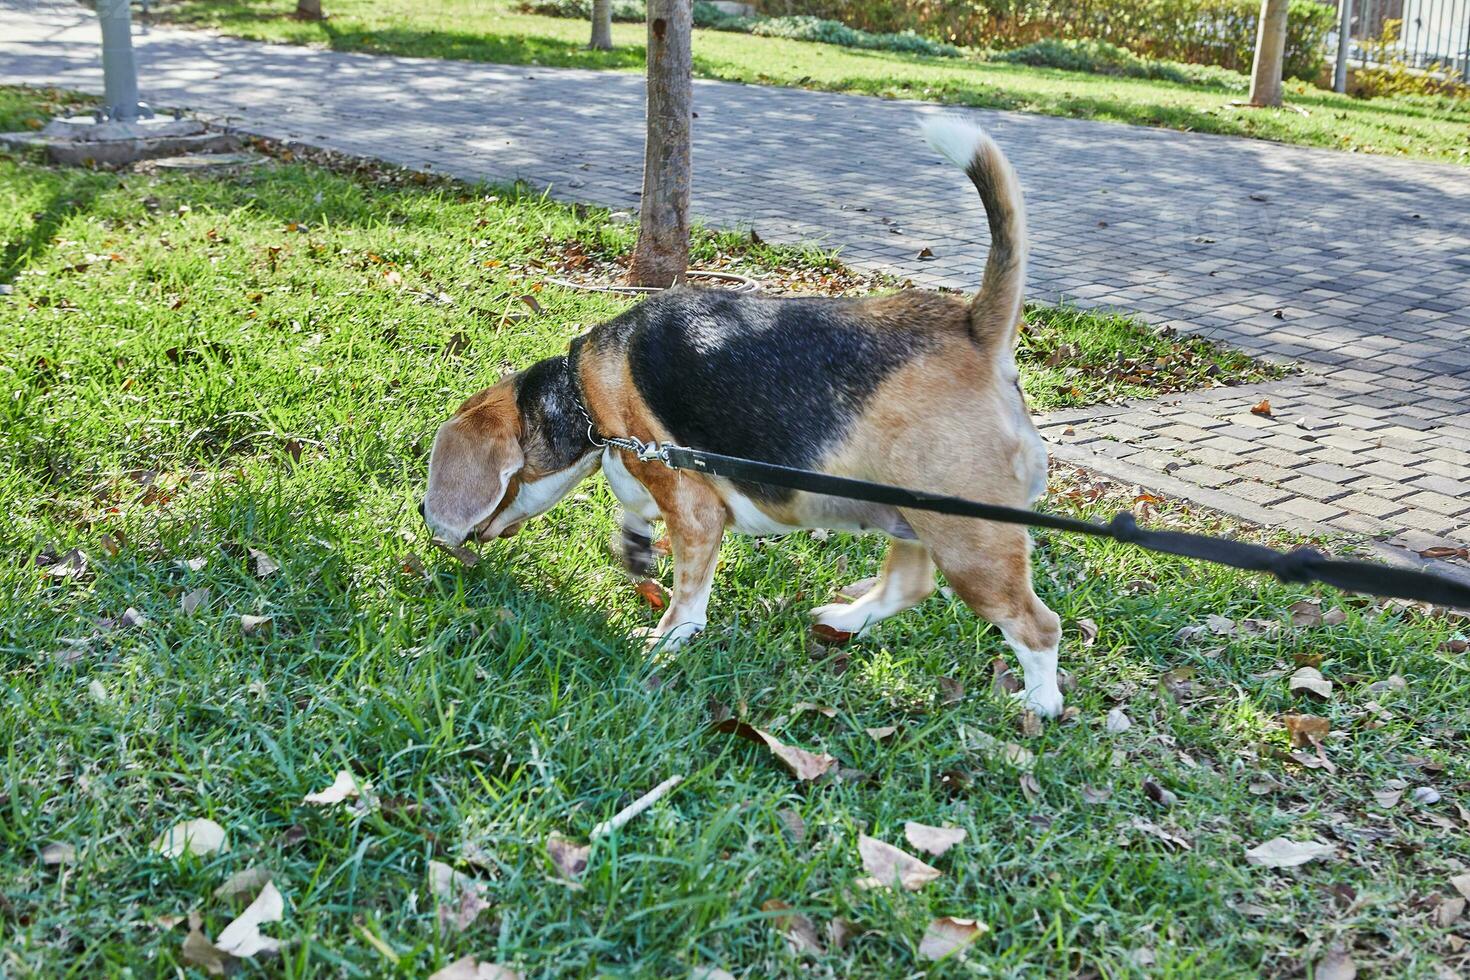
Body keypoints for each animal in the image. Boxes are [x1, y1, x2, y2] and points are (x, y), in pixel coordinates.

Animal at [420, 120, 1064, 719]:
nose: (430, 522)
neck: (582, 389)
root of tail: (973, 329)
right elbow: (633, 507)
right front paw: (635, 542)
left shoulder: (694, 510)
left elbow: (686, 597)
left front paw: (664, 642)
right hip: (912, 520)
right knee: (910, 586)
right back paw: (843, 621)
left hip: (970, 543)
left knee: (1037, 625)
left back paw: (1041, 702)